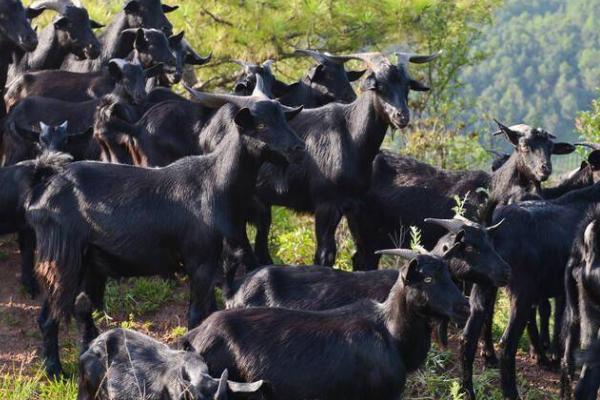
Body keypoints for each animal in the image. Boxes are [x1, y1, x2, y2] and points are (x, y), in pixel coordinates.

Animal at [25, 88, 302, 378]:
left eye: (284, 118)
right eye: (261, 125)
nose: (298, 148)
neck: (214, 183)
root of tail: (41, 189)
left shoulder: (215, 261)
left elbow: (211, 311)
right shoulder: (200, 261)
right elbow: (196, 315)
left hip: (87, 264)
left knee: (79, 309)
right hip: (62, 260)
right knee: (50, 317)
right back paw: (54, 370)